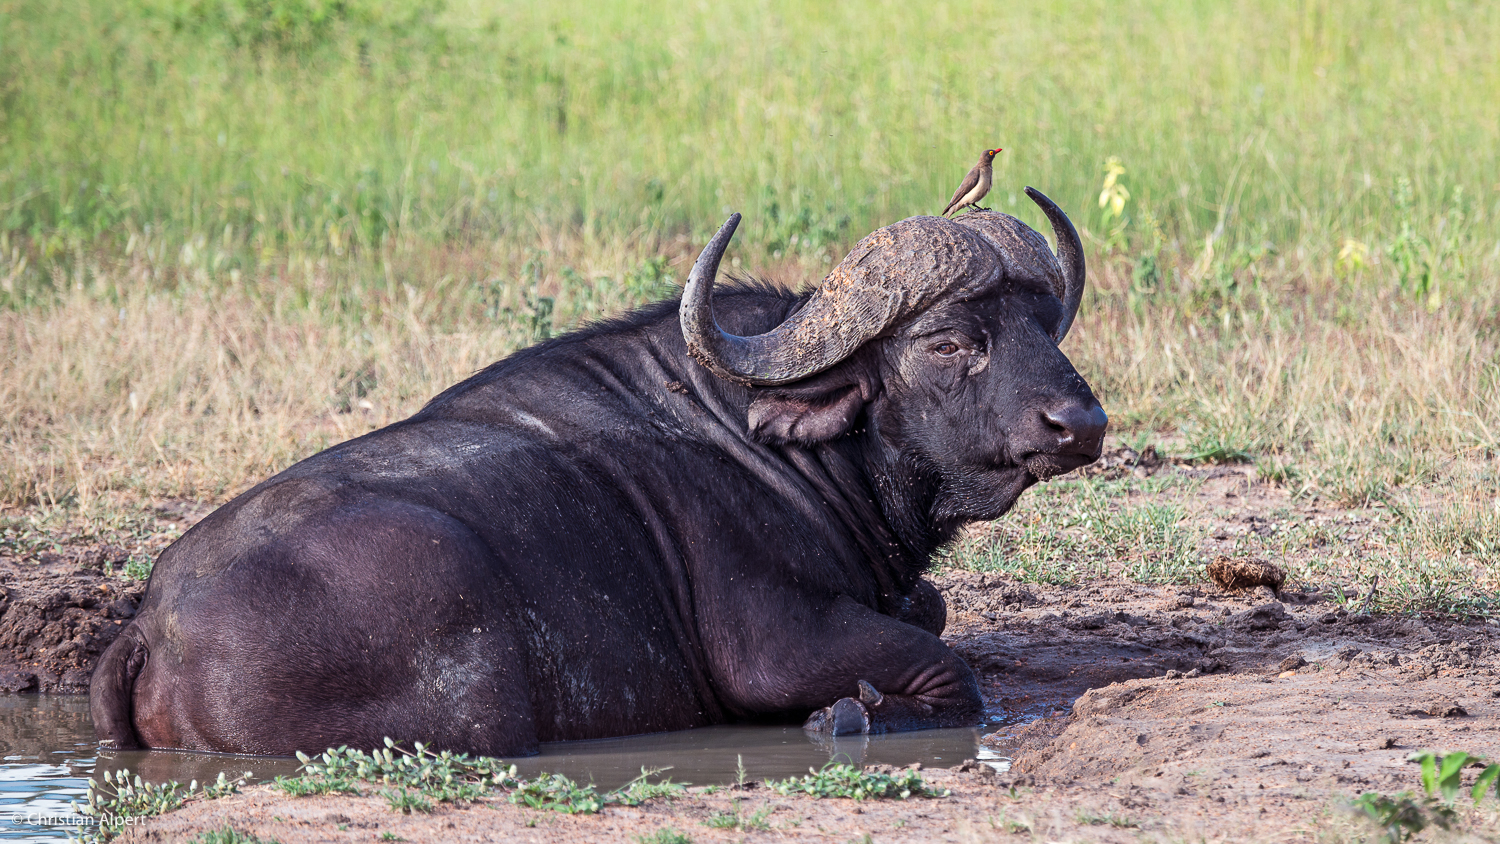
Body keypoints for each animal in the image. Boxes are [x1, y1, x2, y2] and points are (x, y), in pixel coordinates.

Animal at [90, 188, 1104, 755]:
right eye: (950, 341)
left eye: (1041, 320)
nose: (1081, 423)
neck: (797, 448)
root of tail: (148, 625)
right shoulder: (777, 646)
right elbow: (949, 673)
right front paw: (848, 715)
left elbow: (934, 615)